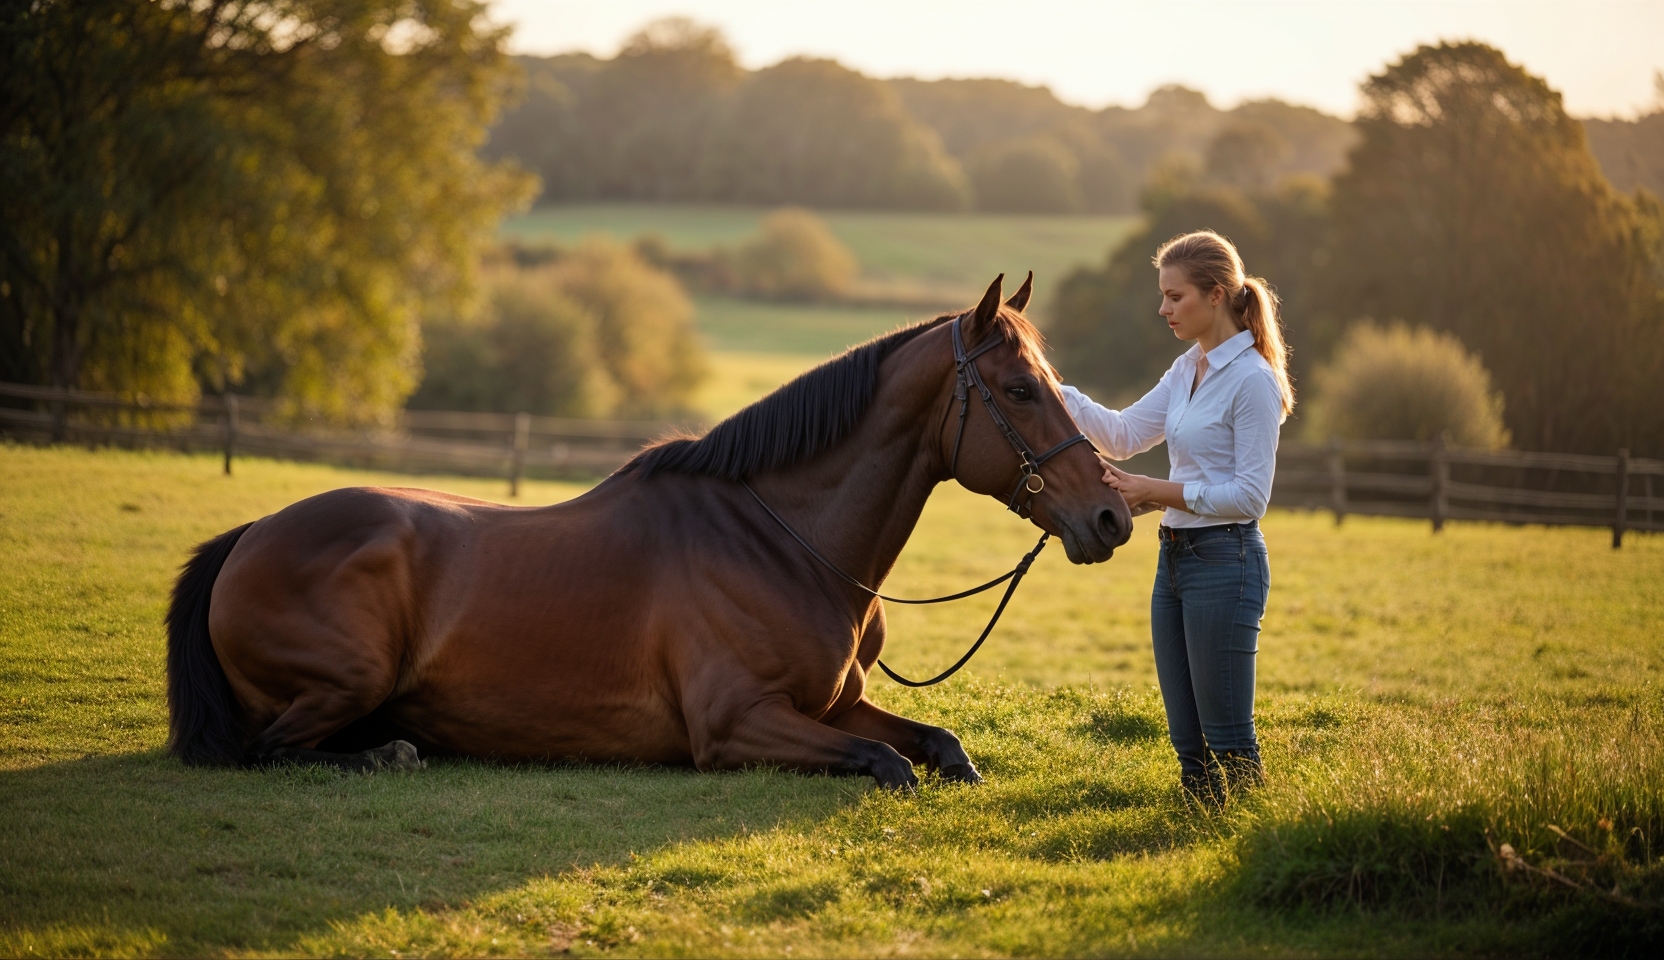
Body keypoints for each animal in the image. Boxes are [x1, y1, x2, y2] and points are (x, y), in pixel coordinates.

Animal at [165, 274, 1133, 788]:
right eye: (1019, 390)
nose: (1111, 514)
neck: (787, 546)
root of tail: (253, 534)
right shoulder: (738, 725)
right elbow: (885, 763)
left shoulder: (837, 704)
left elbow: (942, 746)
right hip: (346, 680)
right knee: (275, 749)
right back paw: (391, 754)